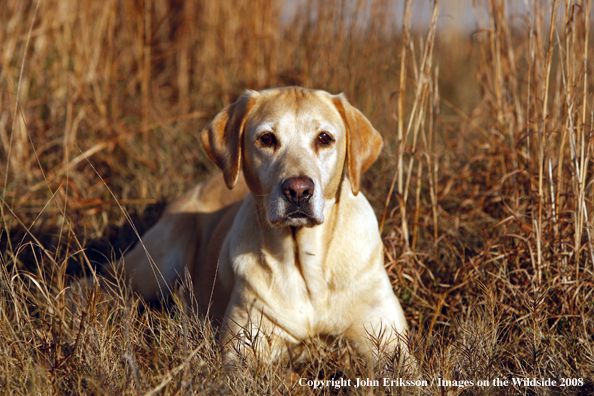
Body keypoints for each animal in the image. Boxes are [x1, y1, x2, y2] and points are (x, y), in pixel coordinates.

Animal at [124, 87, 408, 366]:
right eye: (267, 139)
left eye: (324, 138)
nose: (298, 191)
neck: (305, 265)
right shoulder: (241, 348)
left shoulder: (388, 341)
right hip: (150, 269)